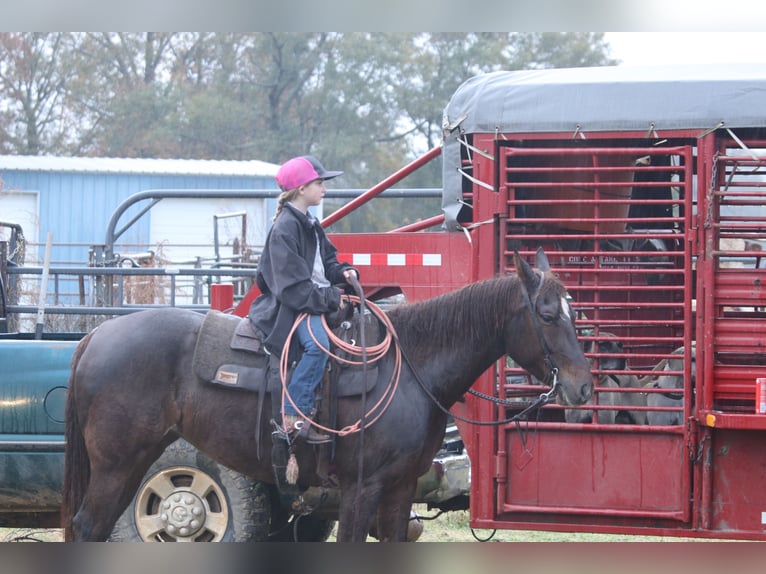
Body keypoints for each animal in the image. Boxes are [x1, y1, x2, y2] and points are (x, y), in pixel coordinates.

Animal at [63, 250, 596, 544]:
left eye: (575, 311)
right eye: (548, 314)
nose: (583, 387)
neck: (410, 368)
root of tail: (96, 336)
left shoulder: (400, 489)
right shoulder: (361, 488)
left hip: (133, 461)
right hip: (116, 464)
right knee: (88, 526)